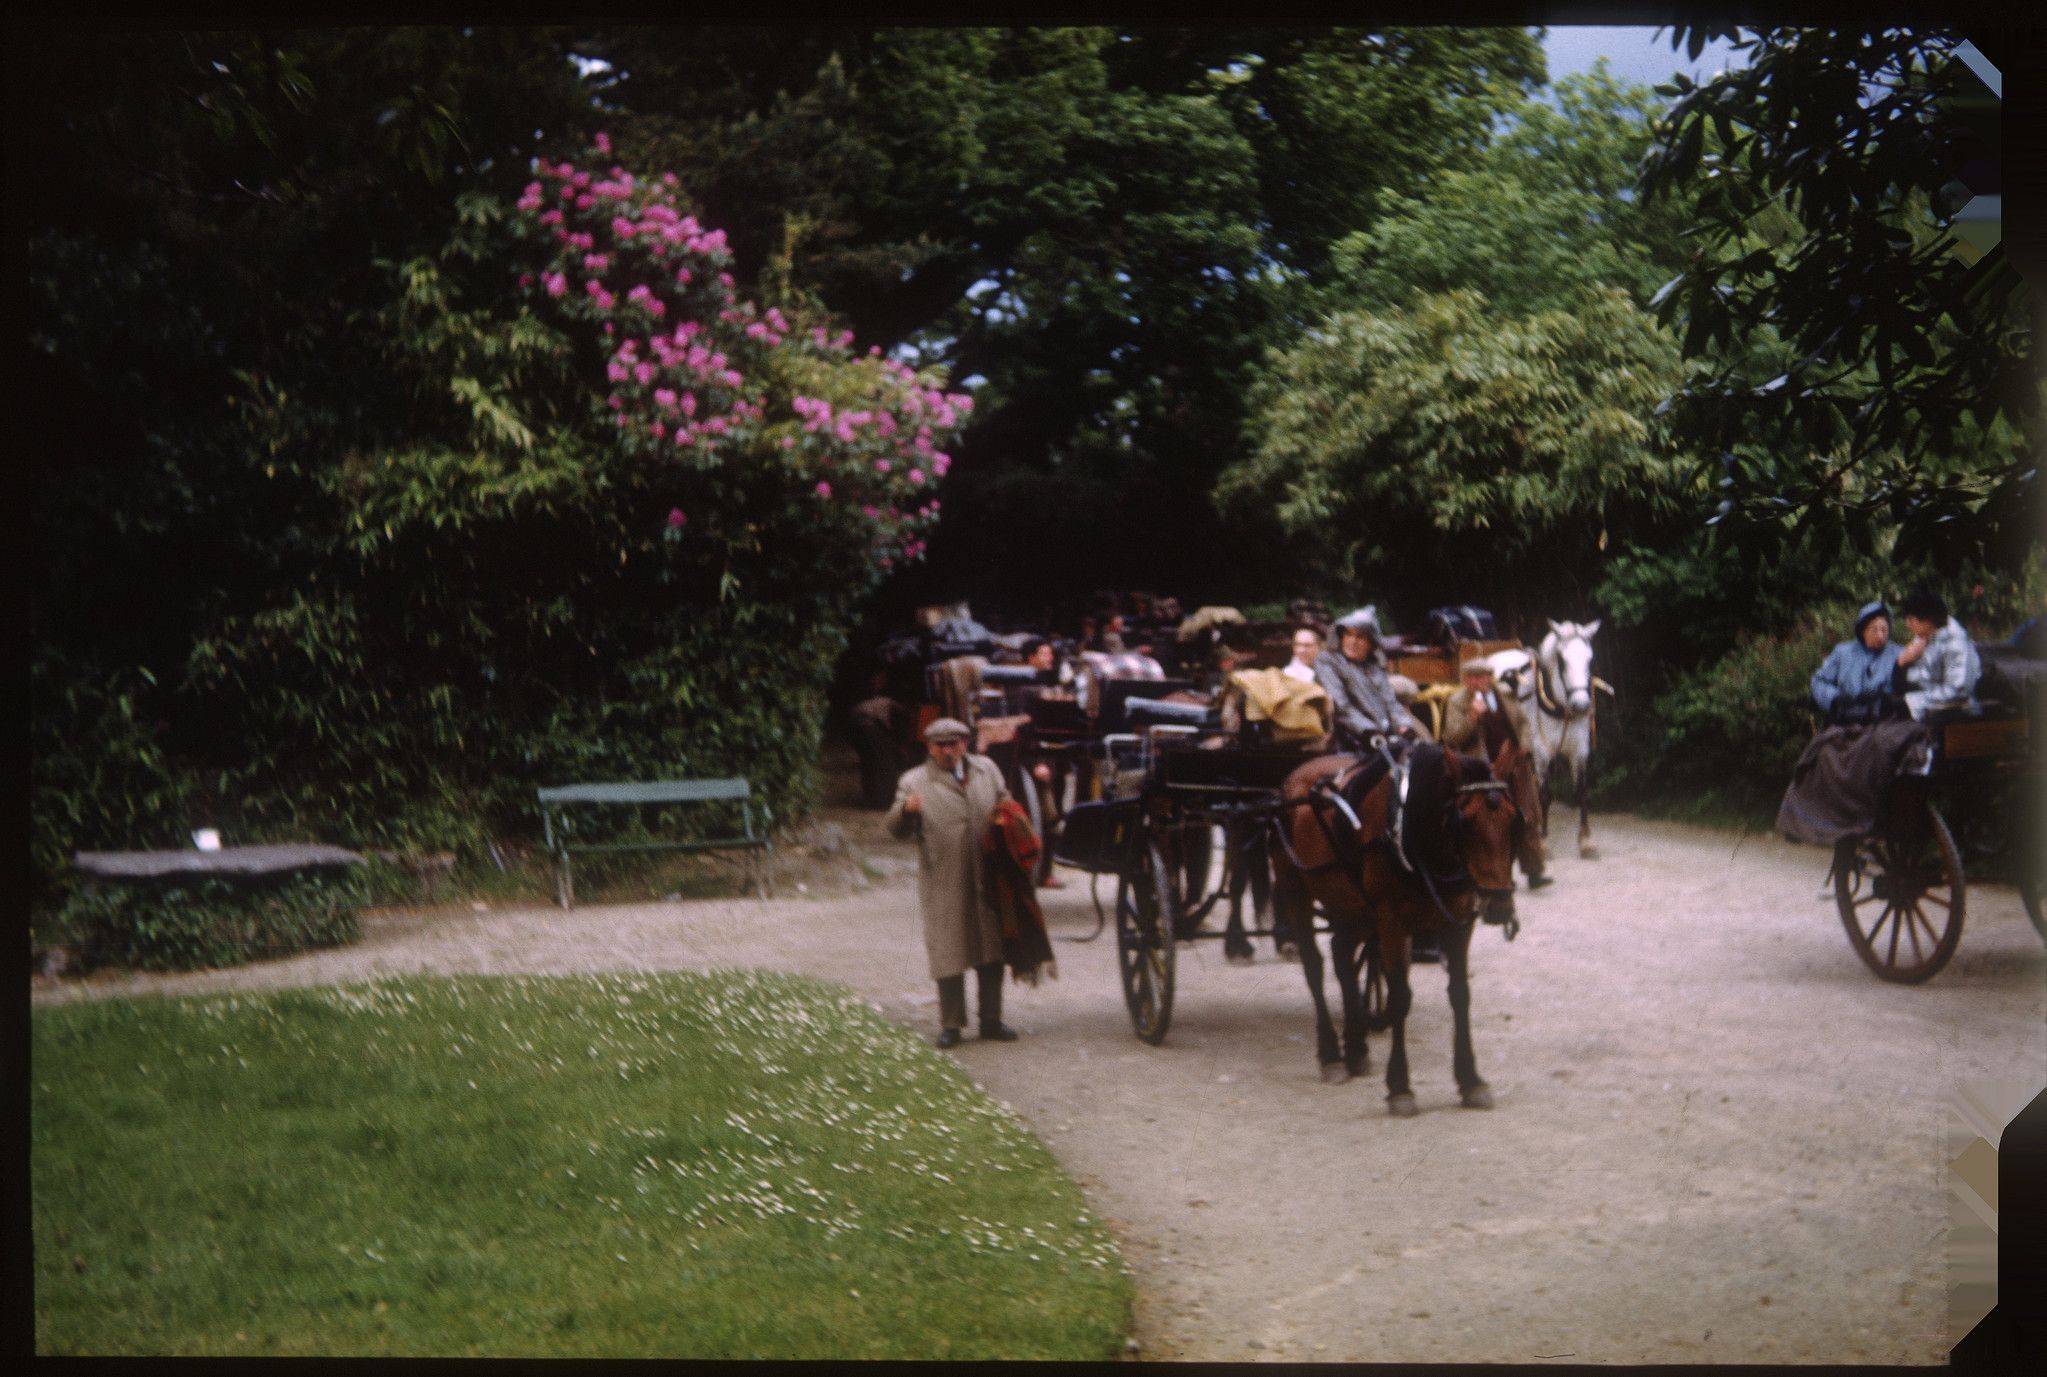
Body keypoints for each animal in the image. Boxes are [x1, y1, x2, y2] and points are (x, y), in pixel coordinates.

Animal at [1269, 736, 1531, 1113]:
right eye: (1464, 823)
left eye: (1514, 822)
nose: (1498, 904)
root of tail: (1294, 777)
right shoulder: (1392, 921)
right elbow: (1399, 998)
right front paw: (1400, 1086)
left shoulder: (1457, 923)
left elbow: (1460, 994)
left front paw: (1470, 1079)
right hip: (1296, 890)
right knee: (1315, 967)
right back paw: (1332, 1055)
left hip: (1355, 907)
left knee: (1341, 955)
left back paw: (1356, 1048)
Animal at [1498, 622, 1604, 859]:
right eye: (1562, 661)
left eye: (1590, 659)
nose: (1581, 705)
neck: (1561, 708)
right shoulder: (1542, 753)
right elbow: (1545, 794)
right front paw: (1543, 843)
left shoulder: (1579, 751)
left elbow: (1581, 791)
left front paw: (1586, 840)